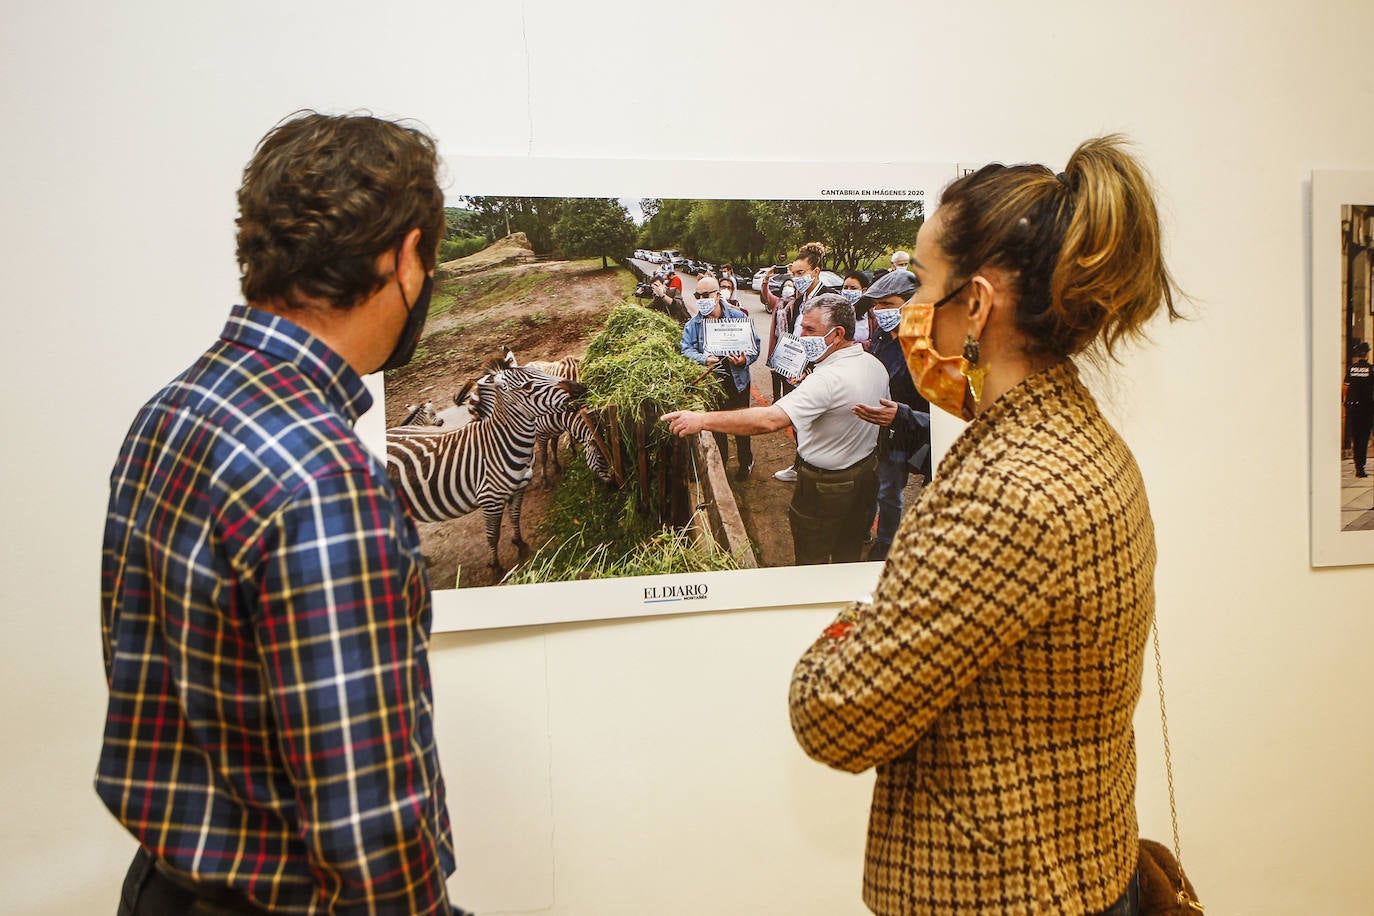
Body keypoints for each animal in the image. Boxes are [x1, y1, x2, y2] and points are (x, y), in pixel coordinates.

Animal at [384, 368, 582, 576]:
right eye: (528, 386)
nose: (581, 388)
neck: (502, 443)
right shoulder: (490, 500)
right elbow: (493, 535)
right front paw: (496, 567)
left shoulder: (518, 489)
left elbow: (515, 517)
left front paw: (520, 544)